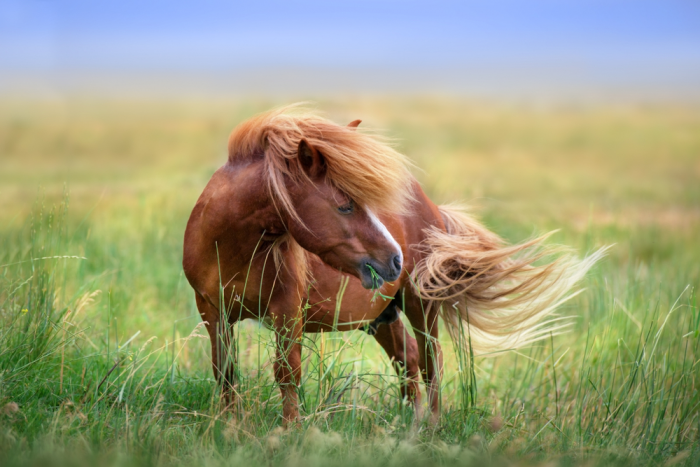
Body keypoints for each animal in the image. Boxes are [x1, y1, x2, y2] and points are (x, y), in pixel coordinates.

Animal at [183, 105, 604, 424]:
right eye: (345, 205)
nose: (394, 260)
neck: (234, 247)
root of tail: (429, 205)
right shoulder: (213, 311)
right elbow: (226, 373)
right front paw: (231, 428)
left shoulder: (287, 312)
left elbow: (287, 373)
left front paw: (288, 434)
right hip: (380, 315)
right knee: (407, 358)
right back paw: (410, 423)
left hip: (421, 305)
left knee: (430, 361)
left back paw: (430, 426)